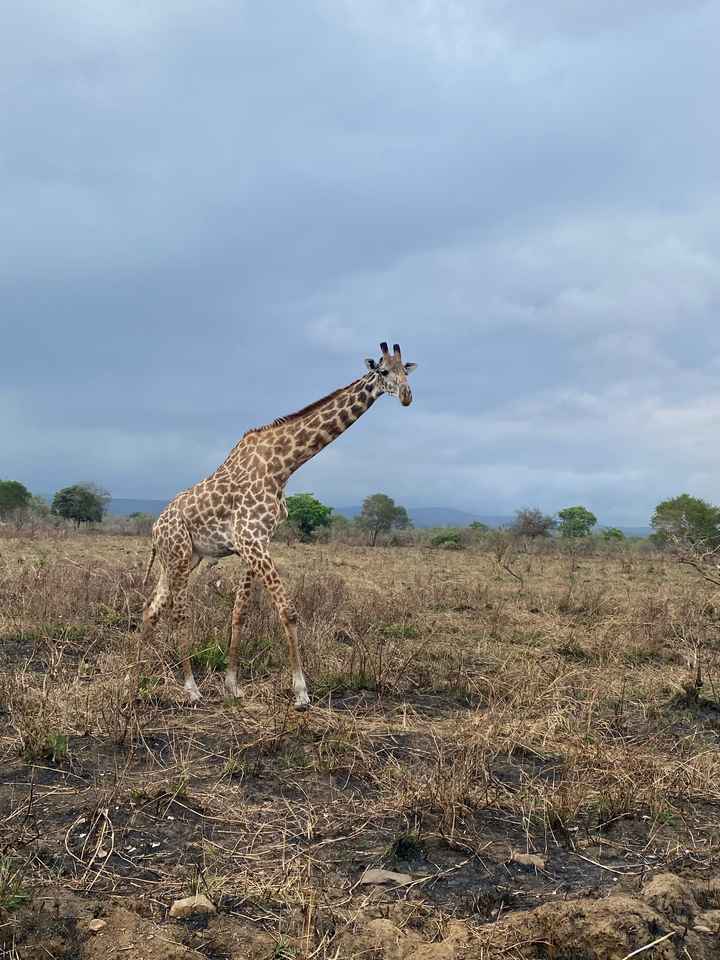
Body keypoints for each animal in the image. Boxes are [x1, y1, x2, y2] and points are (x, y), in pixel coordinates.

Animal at [140, 342, 416, 708]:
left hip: (180, 559)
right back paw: (190, 687)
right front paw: (301, 692)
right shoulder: (250, 539)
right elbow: (288, 611)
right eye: (384, 371)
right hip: (181, 556)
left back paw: (138, 672)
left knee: (151, 608)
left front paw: (232, 685)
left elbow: (240, 611)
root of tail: (155, 529)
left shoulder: (256, 542)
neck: (282, 465)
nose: (407, 396)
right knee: (177, 611)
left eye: (406, 371)